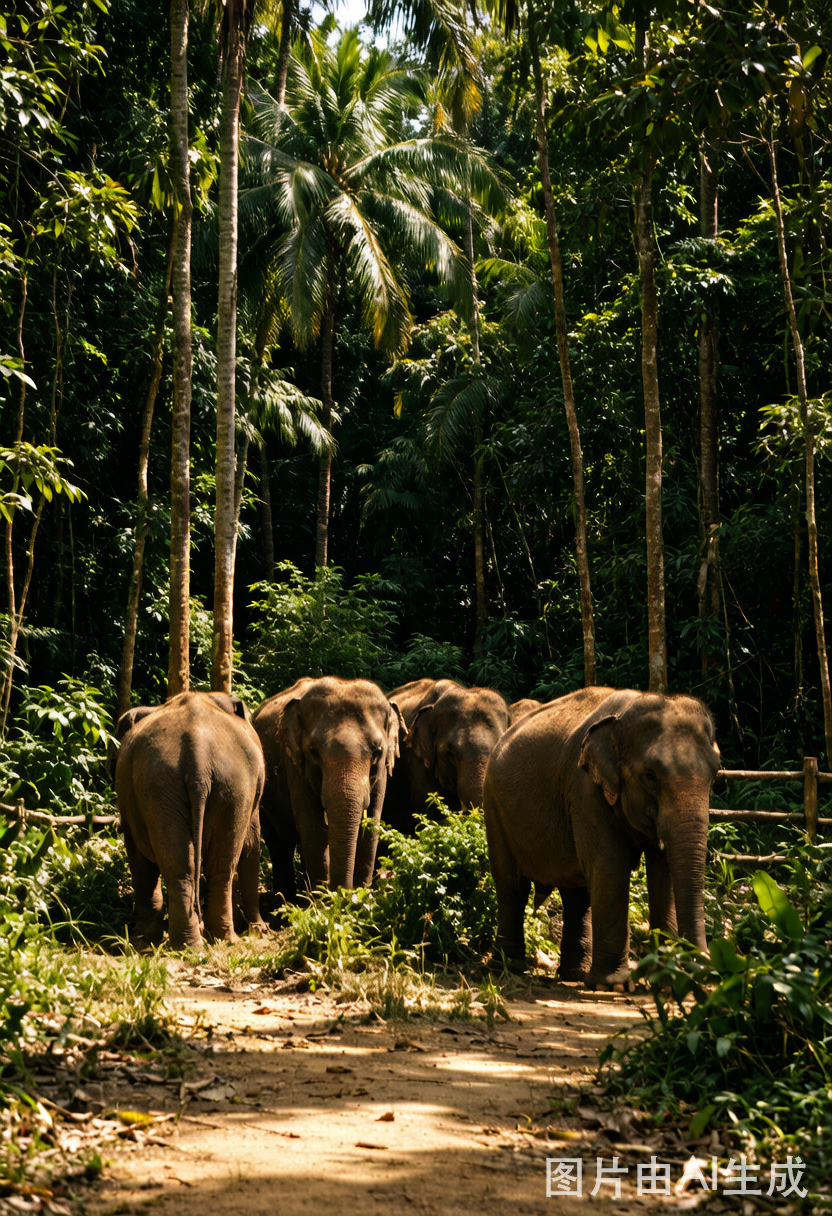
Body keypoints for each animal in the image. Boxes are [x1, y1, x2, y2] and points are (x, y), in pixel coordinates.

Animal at [114, 691, 266, 950]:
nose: (259, 928)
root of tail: (198, 754)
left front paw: (142, 937)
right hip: (211, 784)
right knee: (207, 865)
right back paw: (207, 941)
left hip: (178, 784)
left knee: (197, 865)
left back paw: (201, 942)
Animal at [253, 677, 405, 904]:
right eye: (313, 751)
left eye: (377, 751)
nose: (343, 893)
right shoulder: (294, 767)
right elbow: (313, 829)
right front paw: (325, 904)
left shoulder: (382, 774)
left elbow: (371, 829)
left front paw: (359, 901)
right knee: (280, 845)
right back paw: (286, 901)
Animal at [483, 686, 720, 987]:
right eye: (650, 776)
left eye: (715, 774)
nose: (704, 967)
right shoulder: (585, 788)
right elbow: (610, 865)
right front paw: (615, 985)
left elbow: (662, 872)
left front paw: (664, 979)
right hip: (494, 806)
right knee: (512, 886)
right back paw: (508, 967)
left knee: (576, 894)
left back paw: (575, 975)